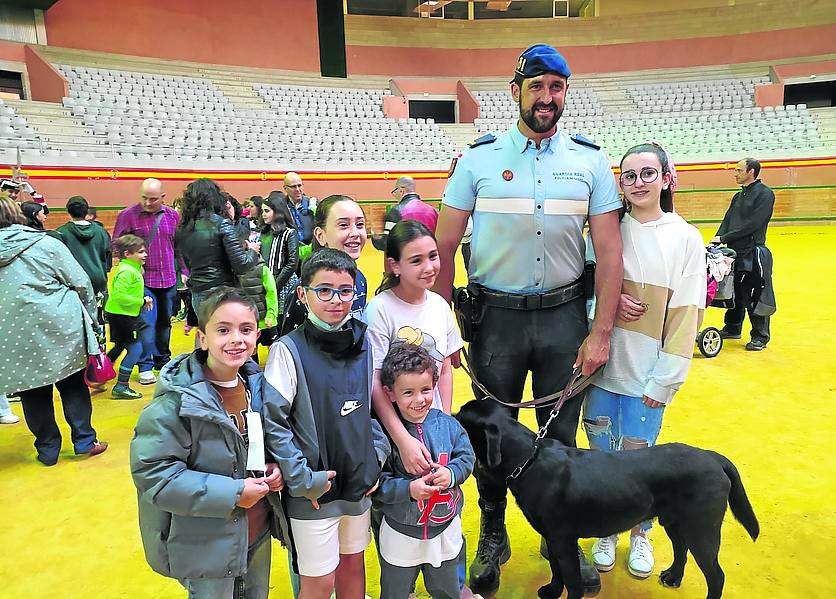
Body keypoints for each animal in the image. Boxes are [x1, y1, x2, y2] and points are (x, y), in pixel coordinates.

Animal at [458, 398, 756, 599]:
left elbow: (572, 579)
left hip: (702, 529)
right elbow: (555, 569)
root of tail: (712, 457)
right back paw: (673, 576)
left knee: (716, 576)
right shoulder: (552, 537)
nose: (447, 415)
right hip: (675, 521)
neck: (528, 460)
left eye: (459, 420)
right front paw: (552, 591)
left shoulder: (563, 539)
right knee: (681, 548)